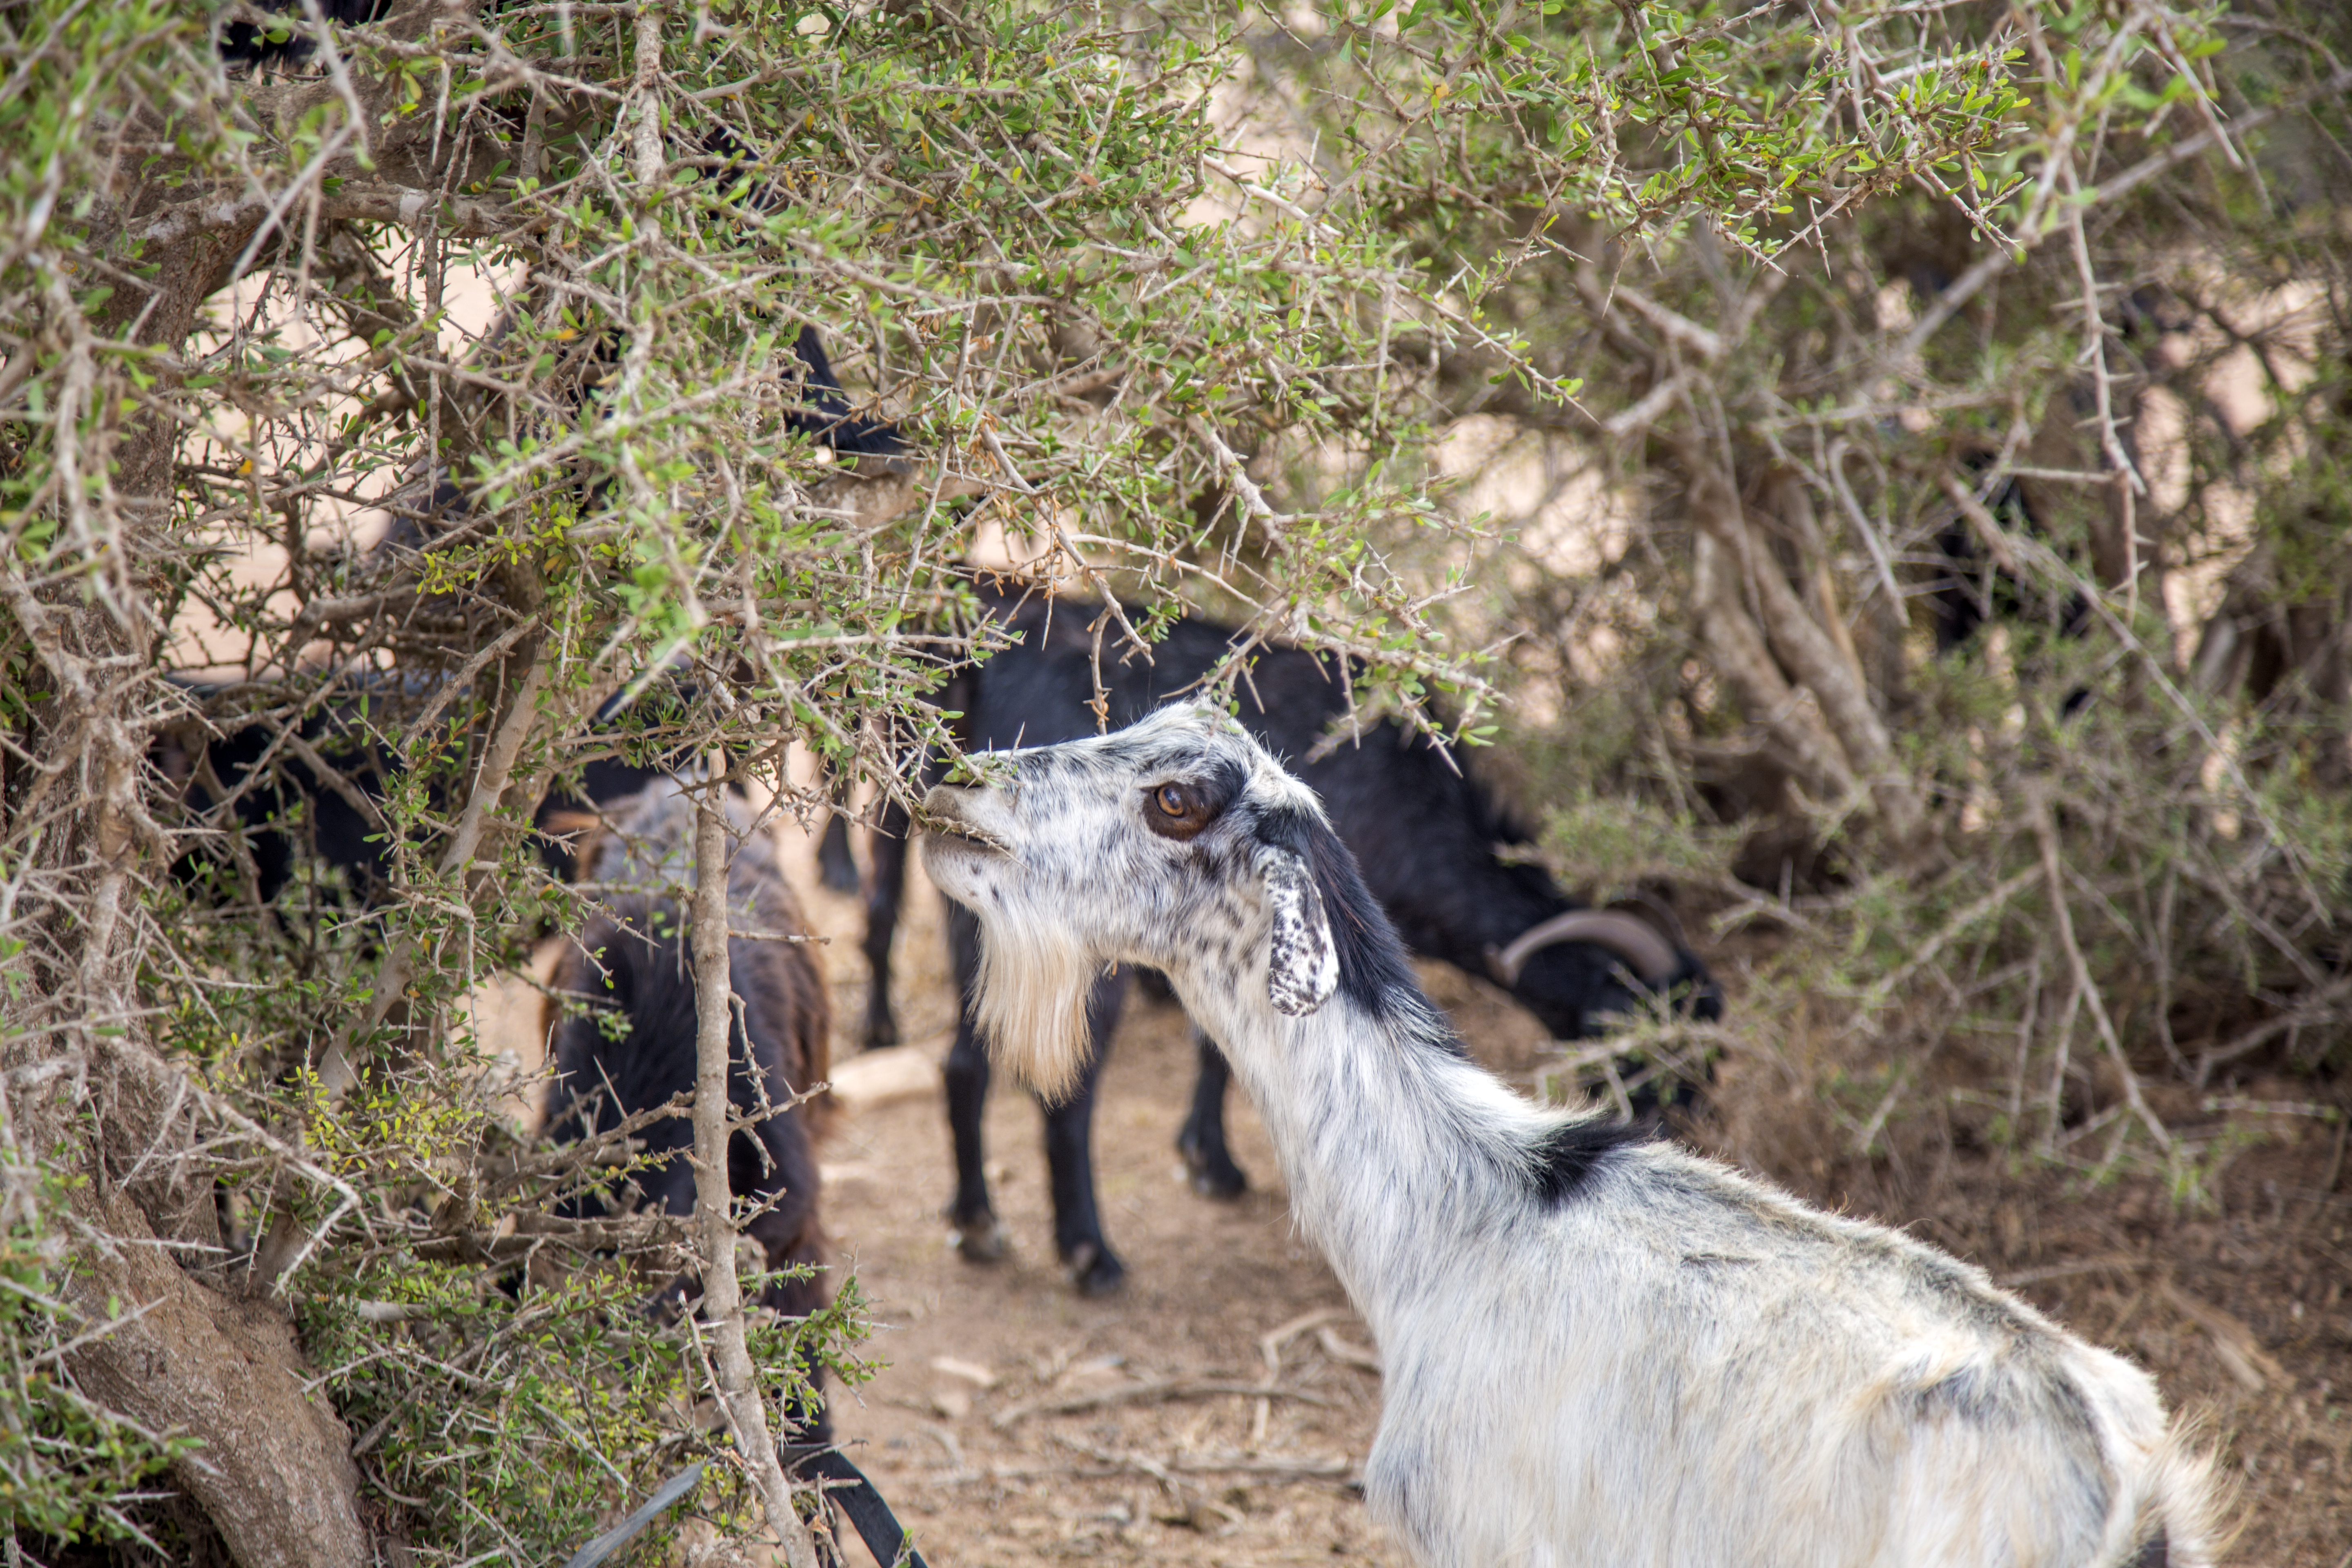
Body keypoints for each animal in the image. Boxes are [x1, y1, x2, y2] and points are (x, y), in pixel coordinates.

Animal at [862, 582, 1720, 1292]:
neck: (1417, 803)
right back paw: (1090, 1254)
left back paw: (977, 1223)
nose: (1681, 1127)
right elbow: (1214, 1050)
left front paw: (1204, 1155)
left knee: (960, 1059)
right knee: (1067, 1096)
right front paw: (1211, 1163)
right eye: (1636, 1045)